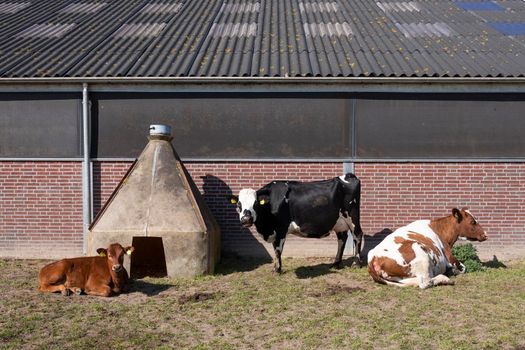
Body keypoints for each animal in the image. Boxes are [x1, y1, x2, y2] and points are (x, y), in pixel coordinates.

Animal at [227, 174, 362, 272]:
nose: (246, 219)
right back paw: (336, 264)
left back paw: (357, 263)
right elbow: (274, 249)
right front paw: (275, 267)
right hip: (339, 222)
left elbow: (278, 249)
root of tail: (349, 175)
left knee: (357, 235)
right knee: (342, 239)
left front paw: (277, 269)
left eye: (255, 204)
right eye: (238, 204)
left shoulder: (281, 228)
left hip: (352, 217)